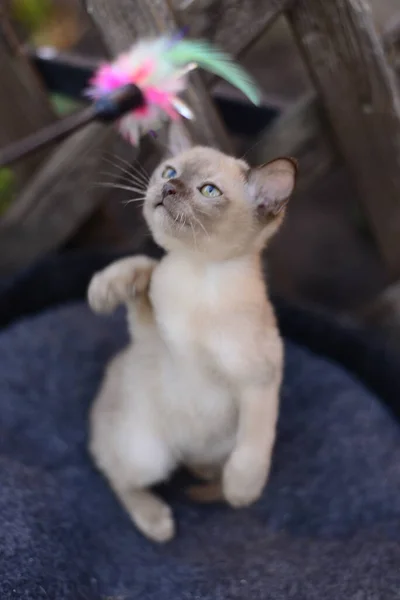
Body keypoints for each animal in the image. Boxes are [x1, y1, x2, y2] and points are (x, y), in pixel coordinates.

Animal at [87, 146, 296, 544]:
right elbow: (143, 265)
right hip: (148, 452)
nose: (168, 188)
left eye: (208, 191)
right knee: (117, 474)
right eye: (170, 172)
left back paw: (194, 493)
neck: (199, 275)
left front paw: (242, 492)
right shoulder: (151, 337)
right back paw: (157, 521)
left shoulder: (260, 381)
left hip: (211, 444)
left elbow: (254, 447)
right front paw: (103, 290)